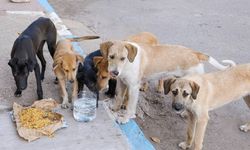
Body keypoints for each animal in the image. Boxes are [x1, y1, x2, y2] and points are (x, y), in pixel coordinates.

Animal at [99, 39, 234, 123]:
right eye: (111, 57)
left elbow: (130, 107)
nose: (115, 73)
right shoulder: (122, 82)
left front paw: (125, 118)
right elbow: (118, 97)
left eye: (123, 58)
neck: (128, 64)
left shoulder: (133, 87)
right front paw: (115, 108)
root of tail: (195, 53)